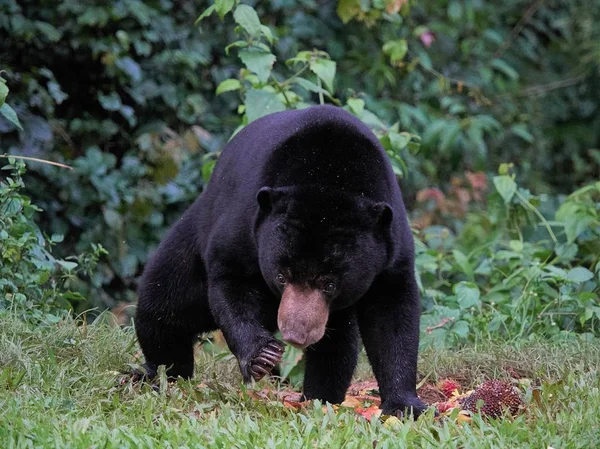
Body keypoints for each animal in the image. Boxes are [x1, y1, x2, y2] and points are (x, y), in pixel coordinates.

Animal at [136, 104, 426, 416]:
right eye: (281, 276)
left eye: (330, 284)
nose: (295, 334)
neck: (328, 174)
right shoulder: (246, 222)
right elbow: (230, 279)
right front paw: (262, 356)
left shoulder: (391, 250)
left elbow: (391, 319)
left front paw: (405, 405)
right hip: (196, 229)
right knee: (165, 301)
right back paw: (164, 373)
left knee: (338, 342)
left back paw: (320, 396)